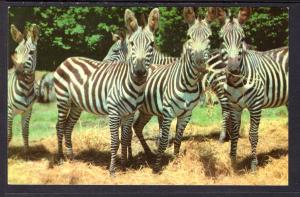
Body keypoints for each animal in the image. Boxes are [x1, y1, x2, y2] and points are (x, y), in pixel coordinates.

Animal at [54, 8, 161, 176]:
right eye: (132, 44)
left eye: (152, 44)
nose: (139, 72)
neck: (132, 85)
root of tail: (68, 59)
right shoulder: (114, 112)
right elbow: (115, 141)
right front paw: (112, 170)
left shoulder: (129, 114)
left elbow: (125, 138)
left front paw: (124, 165)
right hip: (63, 100)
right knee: (59, 126)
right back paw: (60, 158)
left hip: (76, 104)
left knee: (67, 126)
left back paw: (71, 158)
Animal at [218, 7, 288, 171]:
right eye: (222, 39)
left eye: (242, 39)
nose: (233, 69)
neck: (237, 83)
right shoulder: (234, 106)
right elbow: (235, 133)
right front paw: (233, 162)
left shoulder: (256, 106)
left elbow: (253, 134)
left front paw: (254, 165)